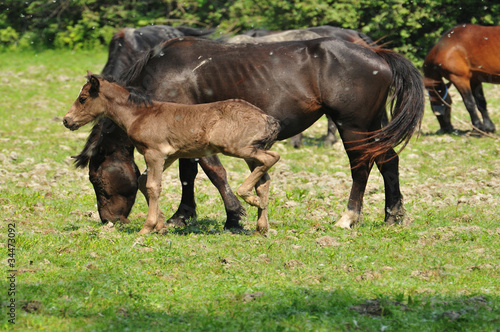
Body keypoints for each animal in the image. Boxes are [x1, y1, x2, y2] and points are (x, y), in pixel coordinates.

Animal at [63, 72, 282, 233]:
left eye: (83, 98)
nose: (66, 120)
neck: (139, 114)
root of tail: (268, 119)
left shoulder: (154, 153)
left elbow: (152, 186)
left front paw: (148, 227)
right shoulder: (168, 156)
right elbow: (143, 181)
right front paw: (160, 226)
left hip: (238, 148)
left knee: (272, 158)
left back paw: (250, 198)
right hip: (250, 152)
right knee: (264, 180)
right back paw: (261, 226)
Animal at [119, 36, 424, 228]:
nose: (114, 220)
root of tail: (376, 54)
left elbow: (211, 173)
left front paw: (231, 217)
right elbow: (190, 173)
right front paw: (183, 215)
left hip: (353, 127)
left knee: (361, 167)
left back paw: (348, 217)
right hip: (373, 126)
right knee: (388, 161)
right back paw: (393, 216)